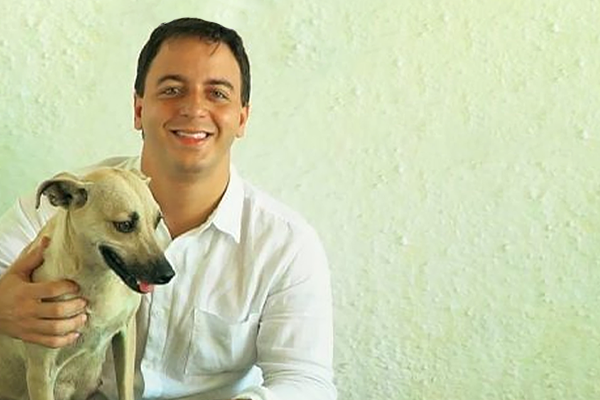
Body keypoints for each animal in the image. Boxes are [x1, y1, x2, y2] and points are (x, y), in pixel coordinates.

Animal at [0, 167, 175, 400]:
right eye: (125, 225)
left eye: (157, 221)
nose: (168, 275)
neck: (97, 283)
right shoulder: (41, 373)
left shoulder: (126, 334)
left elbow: (126, 387)